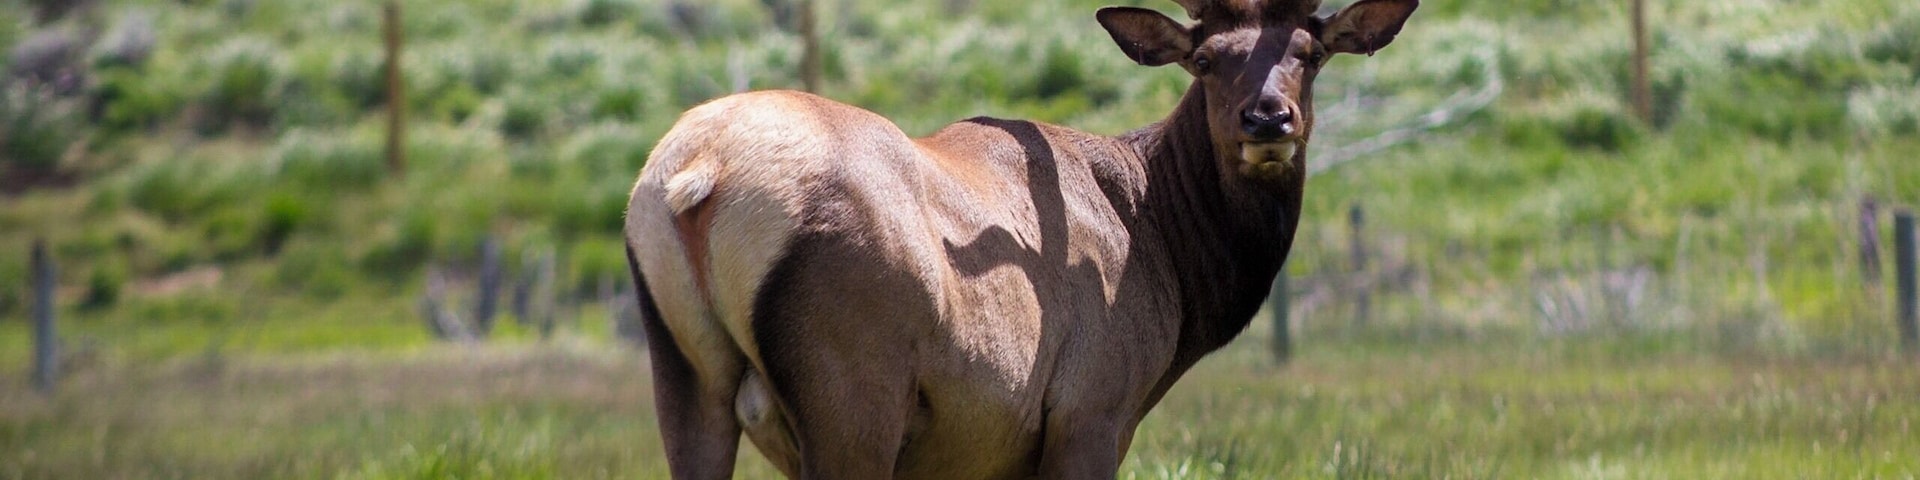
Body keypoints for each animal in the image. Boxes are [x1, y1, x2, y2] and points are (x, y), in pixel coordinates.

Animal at [622, 0, 1419, 477]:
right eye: (1205, 59)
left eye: (1310, 52)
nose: (1267, 119)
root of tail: (699, 176)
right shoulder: (1090, 409)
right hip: (852, 391)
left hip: (686, 376)